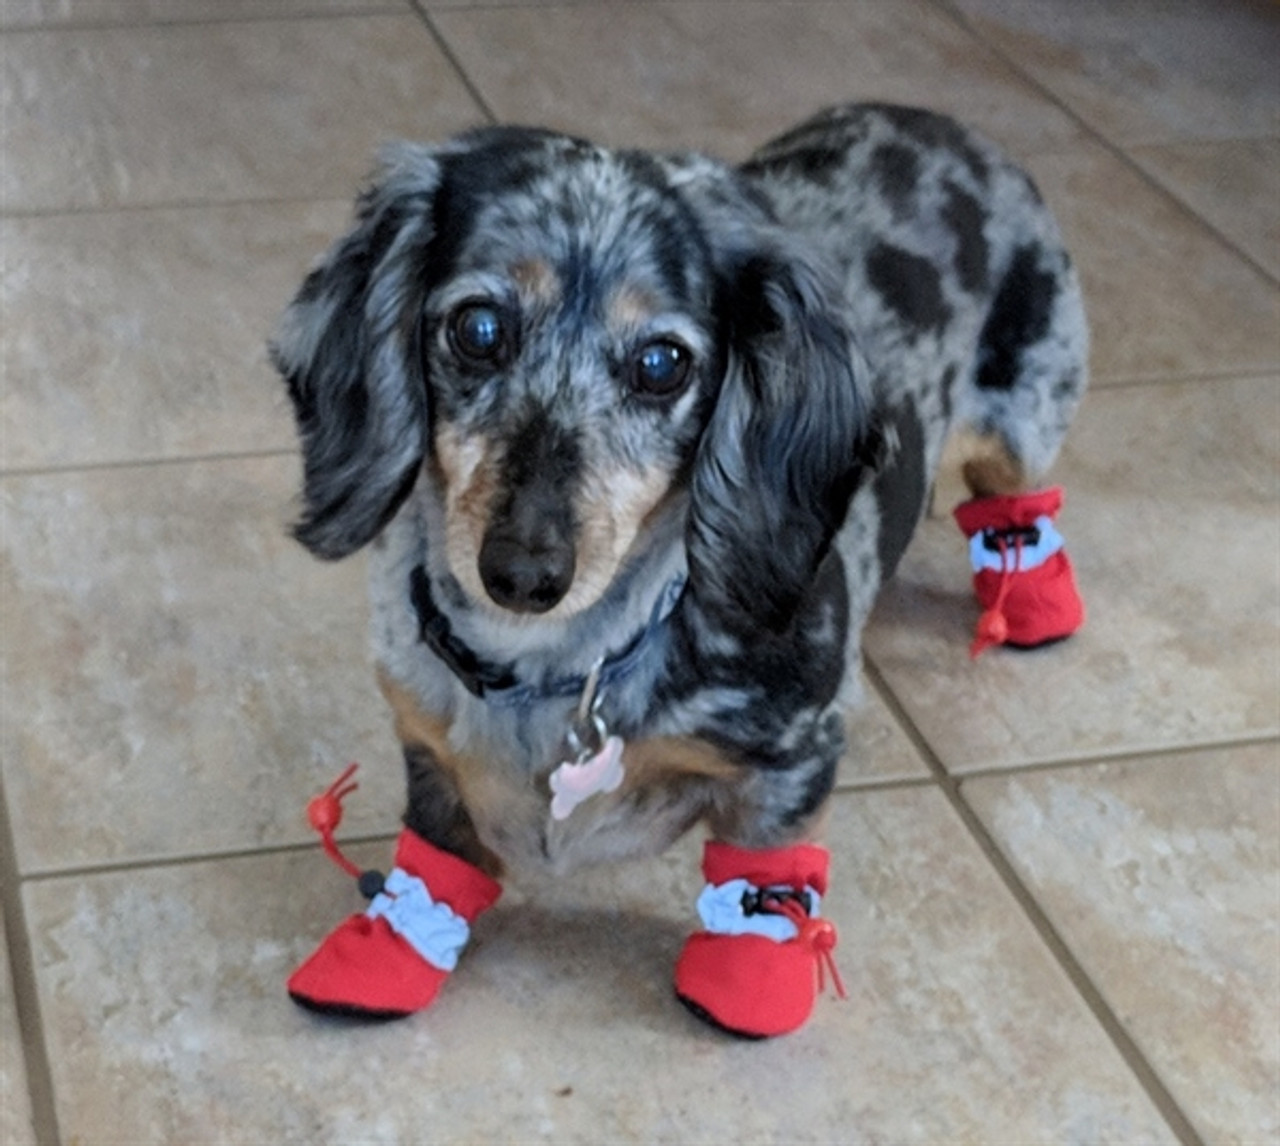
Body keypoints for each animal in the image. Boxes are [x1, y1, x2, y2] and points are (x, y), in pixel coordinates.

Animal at [272, 101, 1090, 1029]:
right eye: (477, 329)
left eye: (661, 363)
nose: (522, 572)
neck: (559, 663)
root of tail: (943, 122)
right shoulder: (427, 748)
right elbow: (438, 853)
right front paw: (385, 949)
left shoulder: (796, 753)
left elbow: (765, 861)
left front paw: (749, 972)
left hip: (1023, 421)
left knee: (1016, 497)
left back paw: (1034, 600)